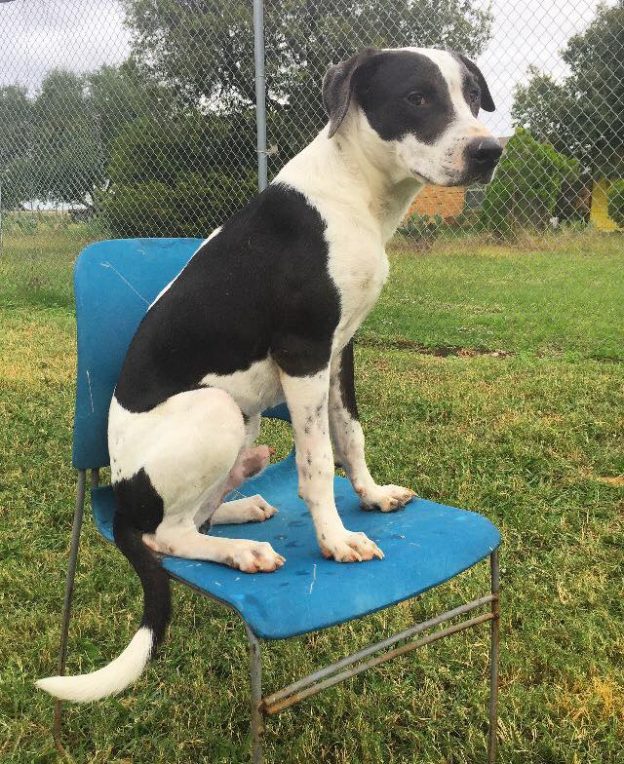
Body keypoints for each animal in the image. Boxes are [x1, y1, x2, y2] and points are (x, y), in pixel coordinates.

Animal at [36, 49, 500, 704]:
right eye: (417, 98)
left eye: (473, 96)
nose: (490, 152)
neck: (351, 192)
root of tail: (120, 498)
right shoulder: (303, 353)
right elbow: (316, 461)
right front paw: (335, 540)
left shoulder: (341, 349)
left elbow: (350, 436)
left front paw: (371, 496)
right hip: (215, 410)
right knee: (167, 535)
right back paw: (242, 551)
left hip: (246, 420)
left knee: (198, 512)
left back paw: (243, 508)